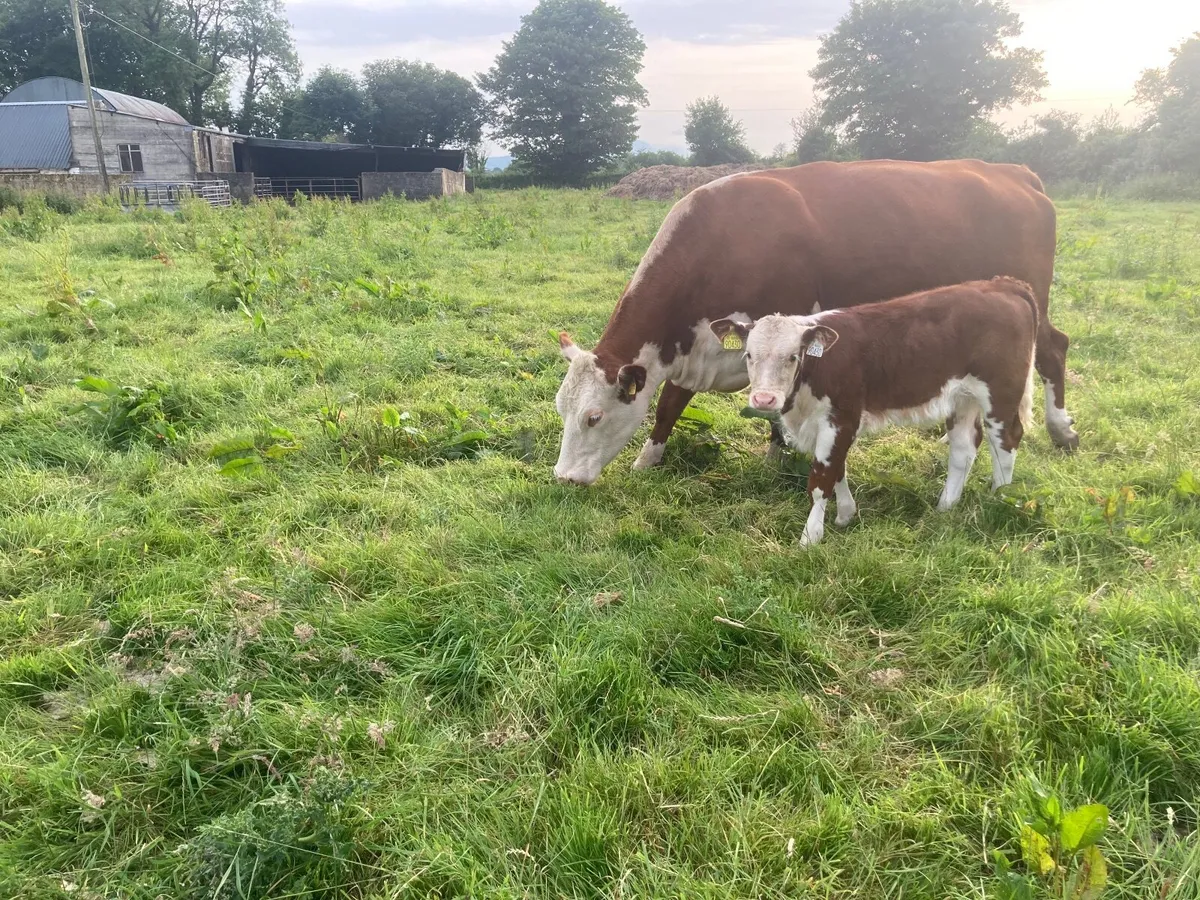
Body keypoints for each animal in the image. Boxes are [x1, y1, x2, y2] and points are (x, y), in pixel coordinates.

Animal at [553, 159, 1076, 487]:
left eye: (593, 416)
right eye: (561, 410)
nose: (564, 478)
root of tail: (1013, 171)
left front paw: (775, 452)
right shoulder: (700, 346)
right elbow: (669, 405)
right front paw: (648, 458)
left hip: (1032, 299)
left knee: (1054, 347)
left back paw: (1061, 431)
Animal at [711, 277, 1039, 547]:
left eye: (792, 357)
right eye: (748, 355)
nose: (764, 399)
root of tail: (1003, 284)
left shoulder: (840, 419)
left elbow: (822, 478)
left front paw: (810, 537)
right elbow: (837, 469)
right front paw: (845, 514)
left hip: (1001, 393)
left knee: (1006, 442)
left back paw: (1001, 498)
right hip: (962, 398)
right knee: (964, 448)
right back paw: (946, 506)